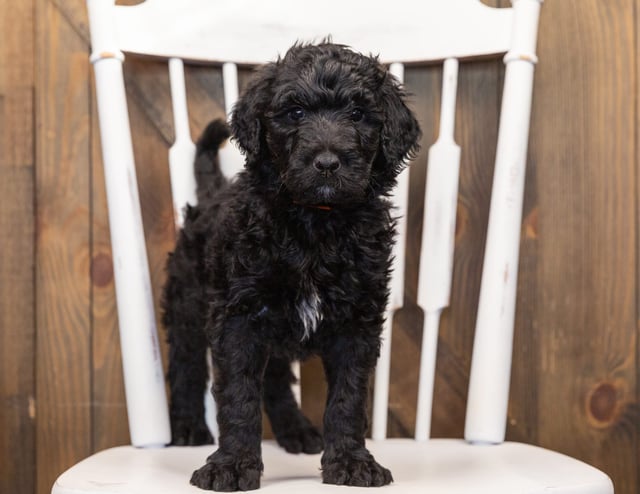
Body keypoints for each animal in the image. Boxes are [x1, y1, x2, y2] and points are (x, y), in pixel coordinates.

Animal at [162, 42, 420, 490]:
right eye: (295, 112)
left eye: (358, 114)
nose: (328, 162)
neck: (316, 221)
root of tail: (212, 192)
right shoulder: (239, 316)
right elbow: (238, 396)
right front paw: (231, 466)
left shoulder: (358, 322)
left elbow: (349, 398)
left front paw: (352, 462)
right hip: (187, 301)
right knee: (186, 364)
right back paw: (190, 428)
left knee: (276, 379)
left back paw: (296, 430)